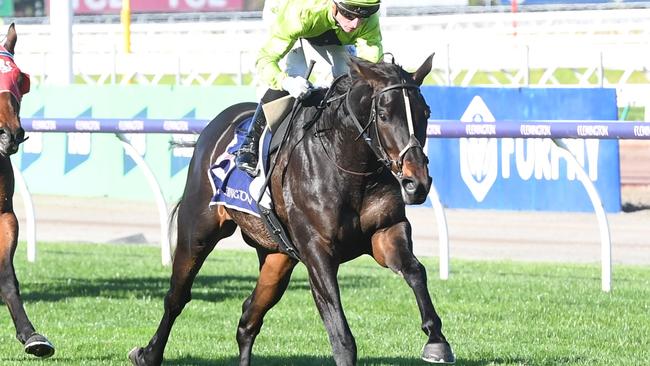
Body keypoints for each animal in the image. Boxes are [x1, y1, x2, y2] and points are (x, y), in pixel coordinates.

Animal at [129, 55, 454, 366]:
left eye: (426, 113)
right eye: (384, 116)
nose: (417, 183)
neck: (349, 165)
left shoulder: (385, 231)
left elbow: (415, 270)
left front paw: (437, 341)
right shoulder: (317, 251)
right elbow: (341, 335)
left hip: (278, 257)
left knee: (249, 317)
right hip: (197, 231)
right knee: (176, 297)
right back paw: (147, 354)